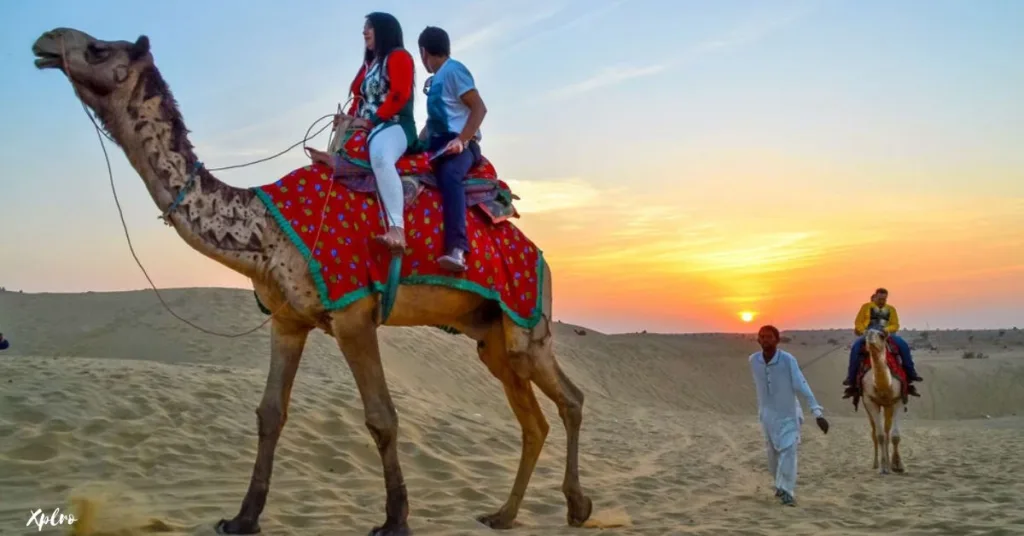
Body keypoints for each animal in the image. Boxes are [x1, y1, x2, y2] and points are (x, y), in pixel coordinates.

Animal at [32, 27, 598, 532]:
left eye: (98, 48)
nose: (45, 40)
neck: (265, 228)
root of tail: (541, 256)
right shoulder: (288, 320)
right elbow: (269, 414)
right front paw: (242, 519)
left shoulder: (352, 314)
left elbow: (381, 417)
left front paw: (395, 521)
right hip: (491, 337)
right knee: (534, 419)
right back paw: (504, 515)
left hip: (526, 321)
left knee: (569, 399)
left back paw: (576, 506)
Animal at [860, 327, 909, 473]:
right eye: (866, 333)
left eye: (881, 335)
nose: (870, 335)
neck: (884, 387)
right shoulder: (870, 402)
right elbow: (879, 436)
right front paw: (883, 467)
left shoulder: (898, 400)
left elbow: (895, 436)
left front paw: (898, 465)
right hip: (868, 407)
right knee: (874, 433)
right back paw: (876, 464)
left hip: (888, 406)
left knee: (887, 431)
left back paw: (889, 463)